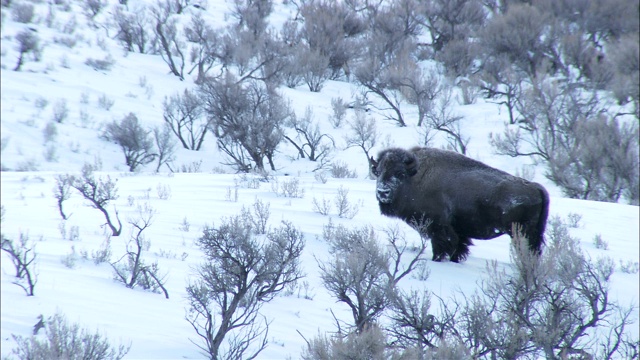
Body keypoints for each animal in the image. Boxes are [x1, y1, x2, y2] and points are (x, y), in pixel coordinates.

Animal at [370, 146, 552, 262]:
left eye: (400, 173)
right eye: (378, 172)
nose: (383, 192)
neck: (415, 178)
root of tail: (536, 187)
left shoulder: (439, 229)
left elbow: (443, 248)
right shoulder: (458, 232)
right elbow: (458, 248)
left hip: (520, 233)